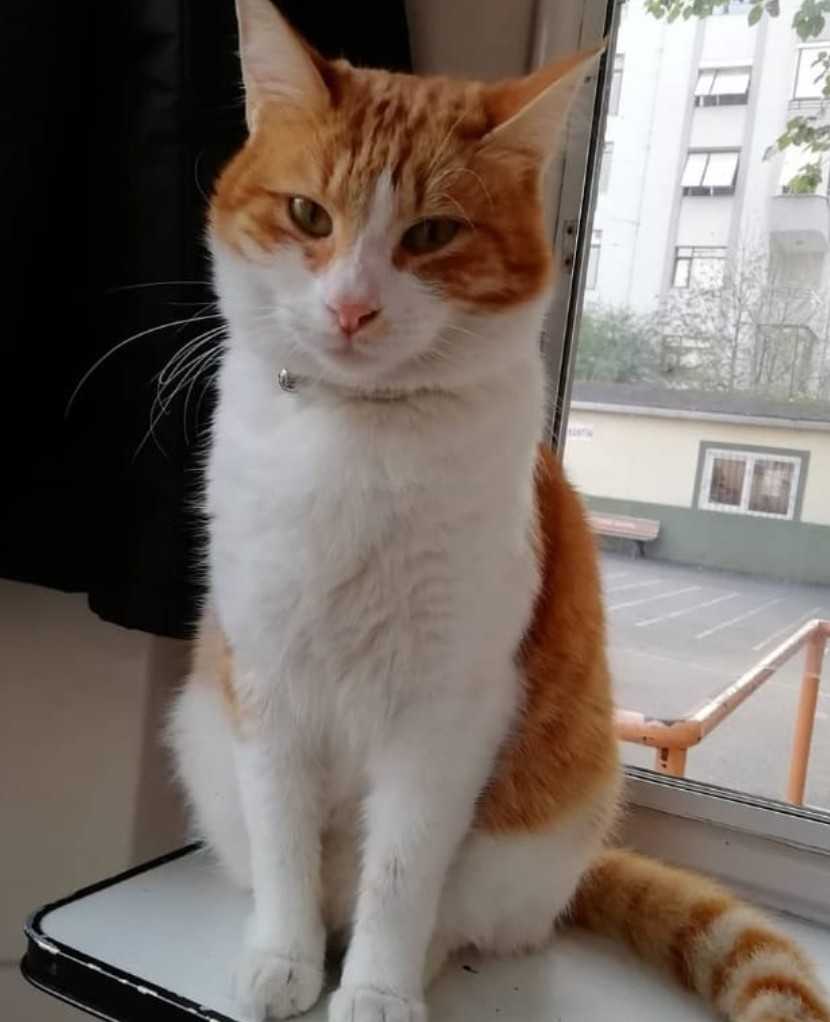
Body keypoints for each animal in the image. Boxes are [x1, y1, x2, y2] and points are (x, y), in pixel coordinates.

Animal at [168, 2, 830, 1021]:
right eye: (309, 215)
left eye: (433, 233)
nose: (353, 308)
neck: (358, 439)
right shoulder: (266, 683)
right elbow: (283, 845)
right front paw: (283, 957)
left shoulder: (448, 709)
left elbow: (402, 874)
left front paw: (376, 989)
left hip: (535, 835)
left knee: (456, 913)